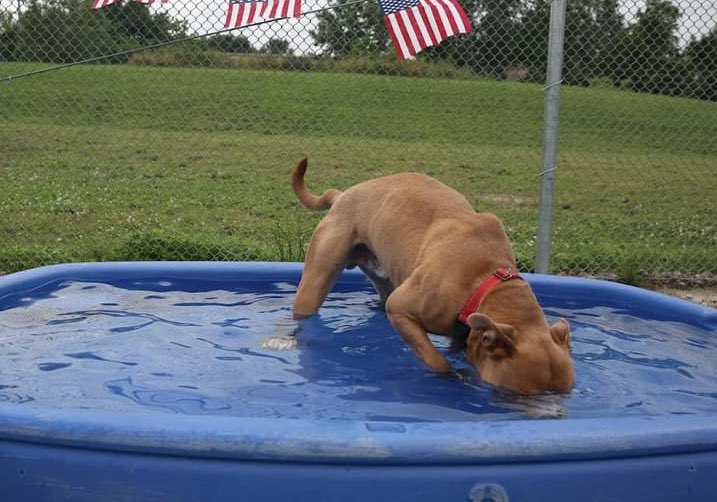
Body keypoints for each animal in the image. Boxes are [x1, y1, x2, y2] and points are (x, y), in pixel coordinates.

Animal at [290, 158, 574, 395]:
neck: (485, 281)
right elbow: (436, 360)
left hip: (383, 278)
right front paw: (449, 377)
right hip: (316, 282)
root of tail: (342, 195)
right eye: (521, 397)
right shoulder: (401, 309)